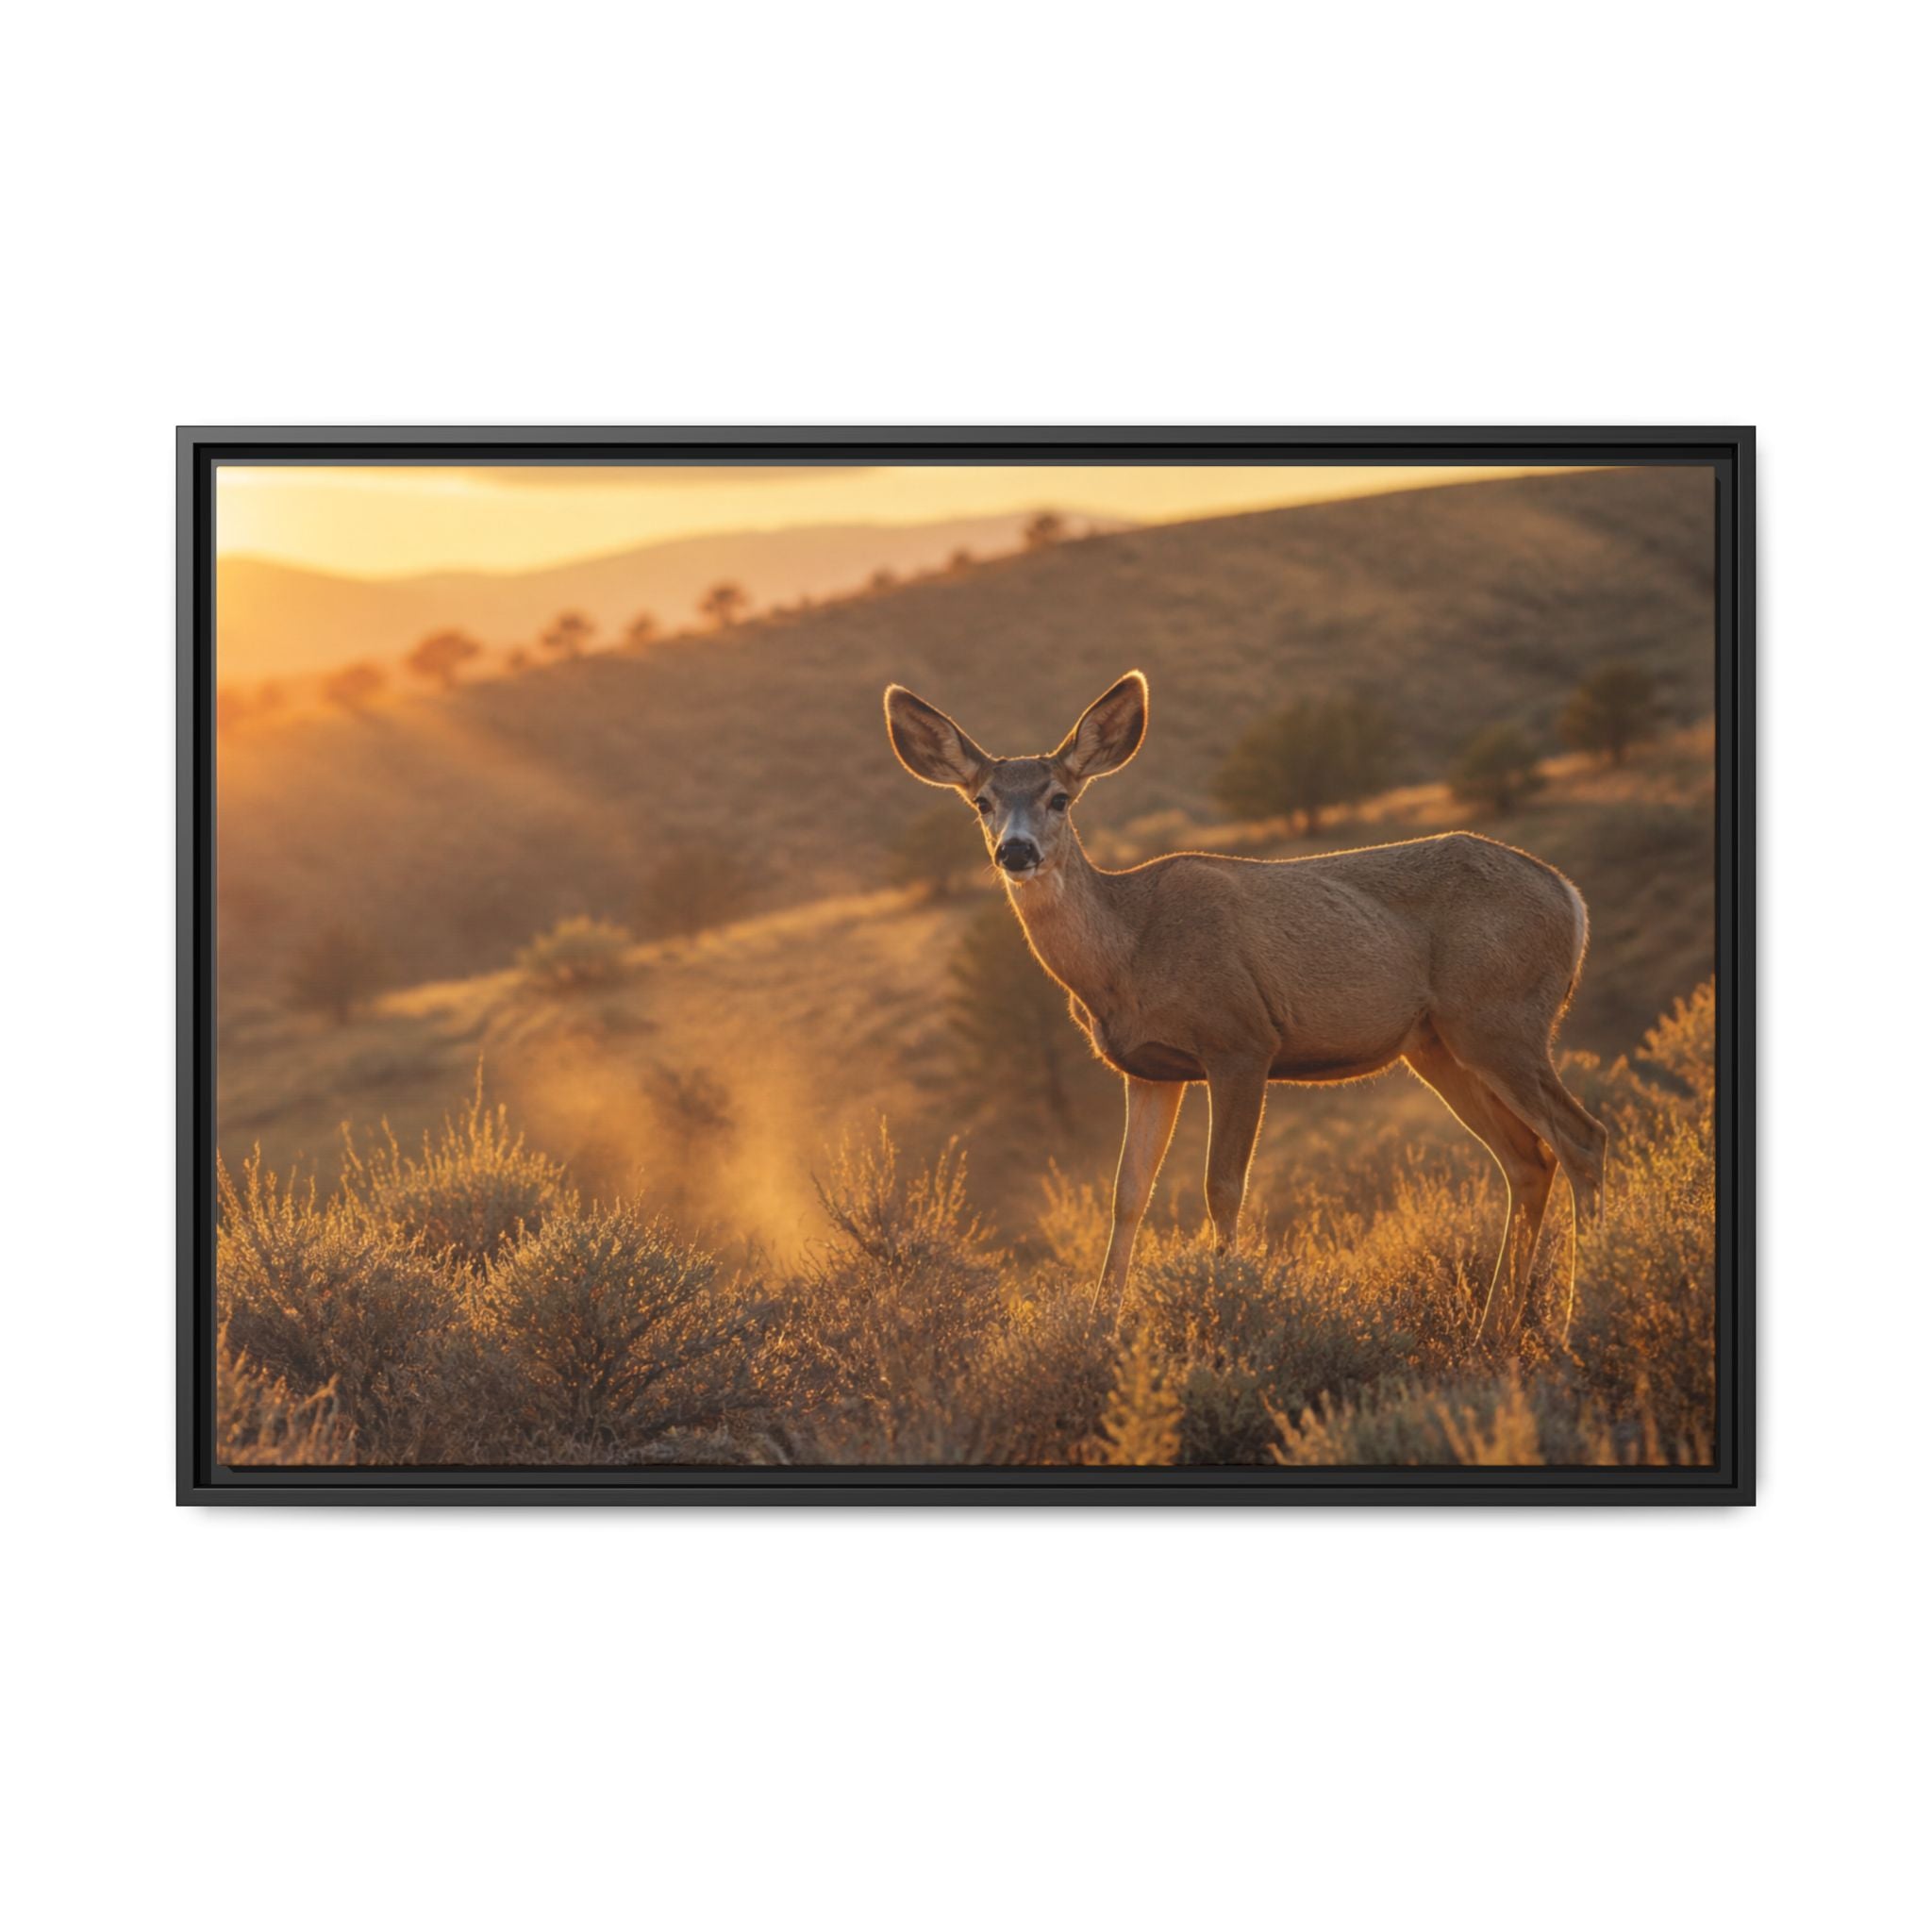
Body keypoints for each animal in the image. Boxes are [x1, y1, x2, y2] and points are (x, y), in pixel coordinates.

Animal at [883, 669, 1608, 1346]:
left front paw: (1227, 1312)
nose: (1016, 850)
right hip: (1439, 1044)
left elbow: (1222, 1186)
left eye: (1059, 797)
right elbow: (1128, 1195)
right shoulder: (1149, 1071)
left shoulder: (1240, 1039)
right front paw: (1101, 1327)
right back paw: (1494, 1331)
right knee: (1527, 1159)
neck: (1129, 953)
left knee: (1582, 1137)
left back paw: (1580, 1321)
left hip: (1502, 1018)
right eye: (982, 802)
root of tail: (1571, 899)